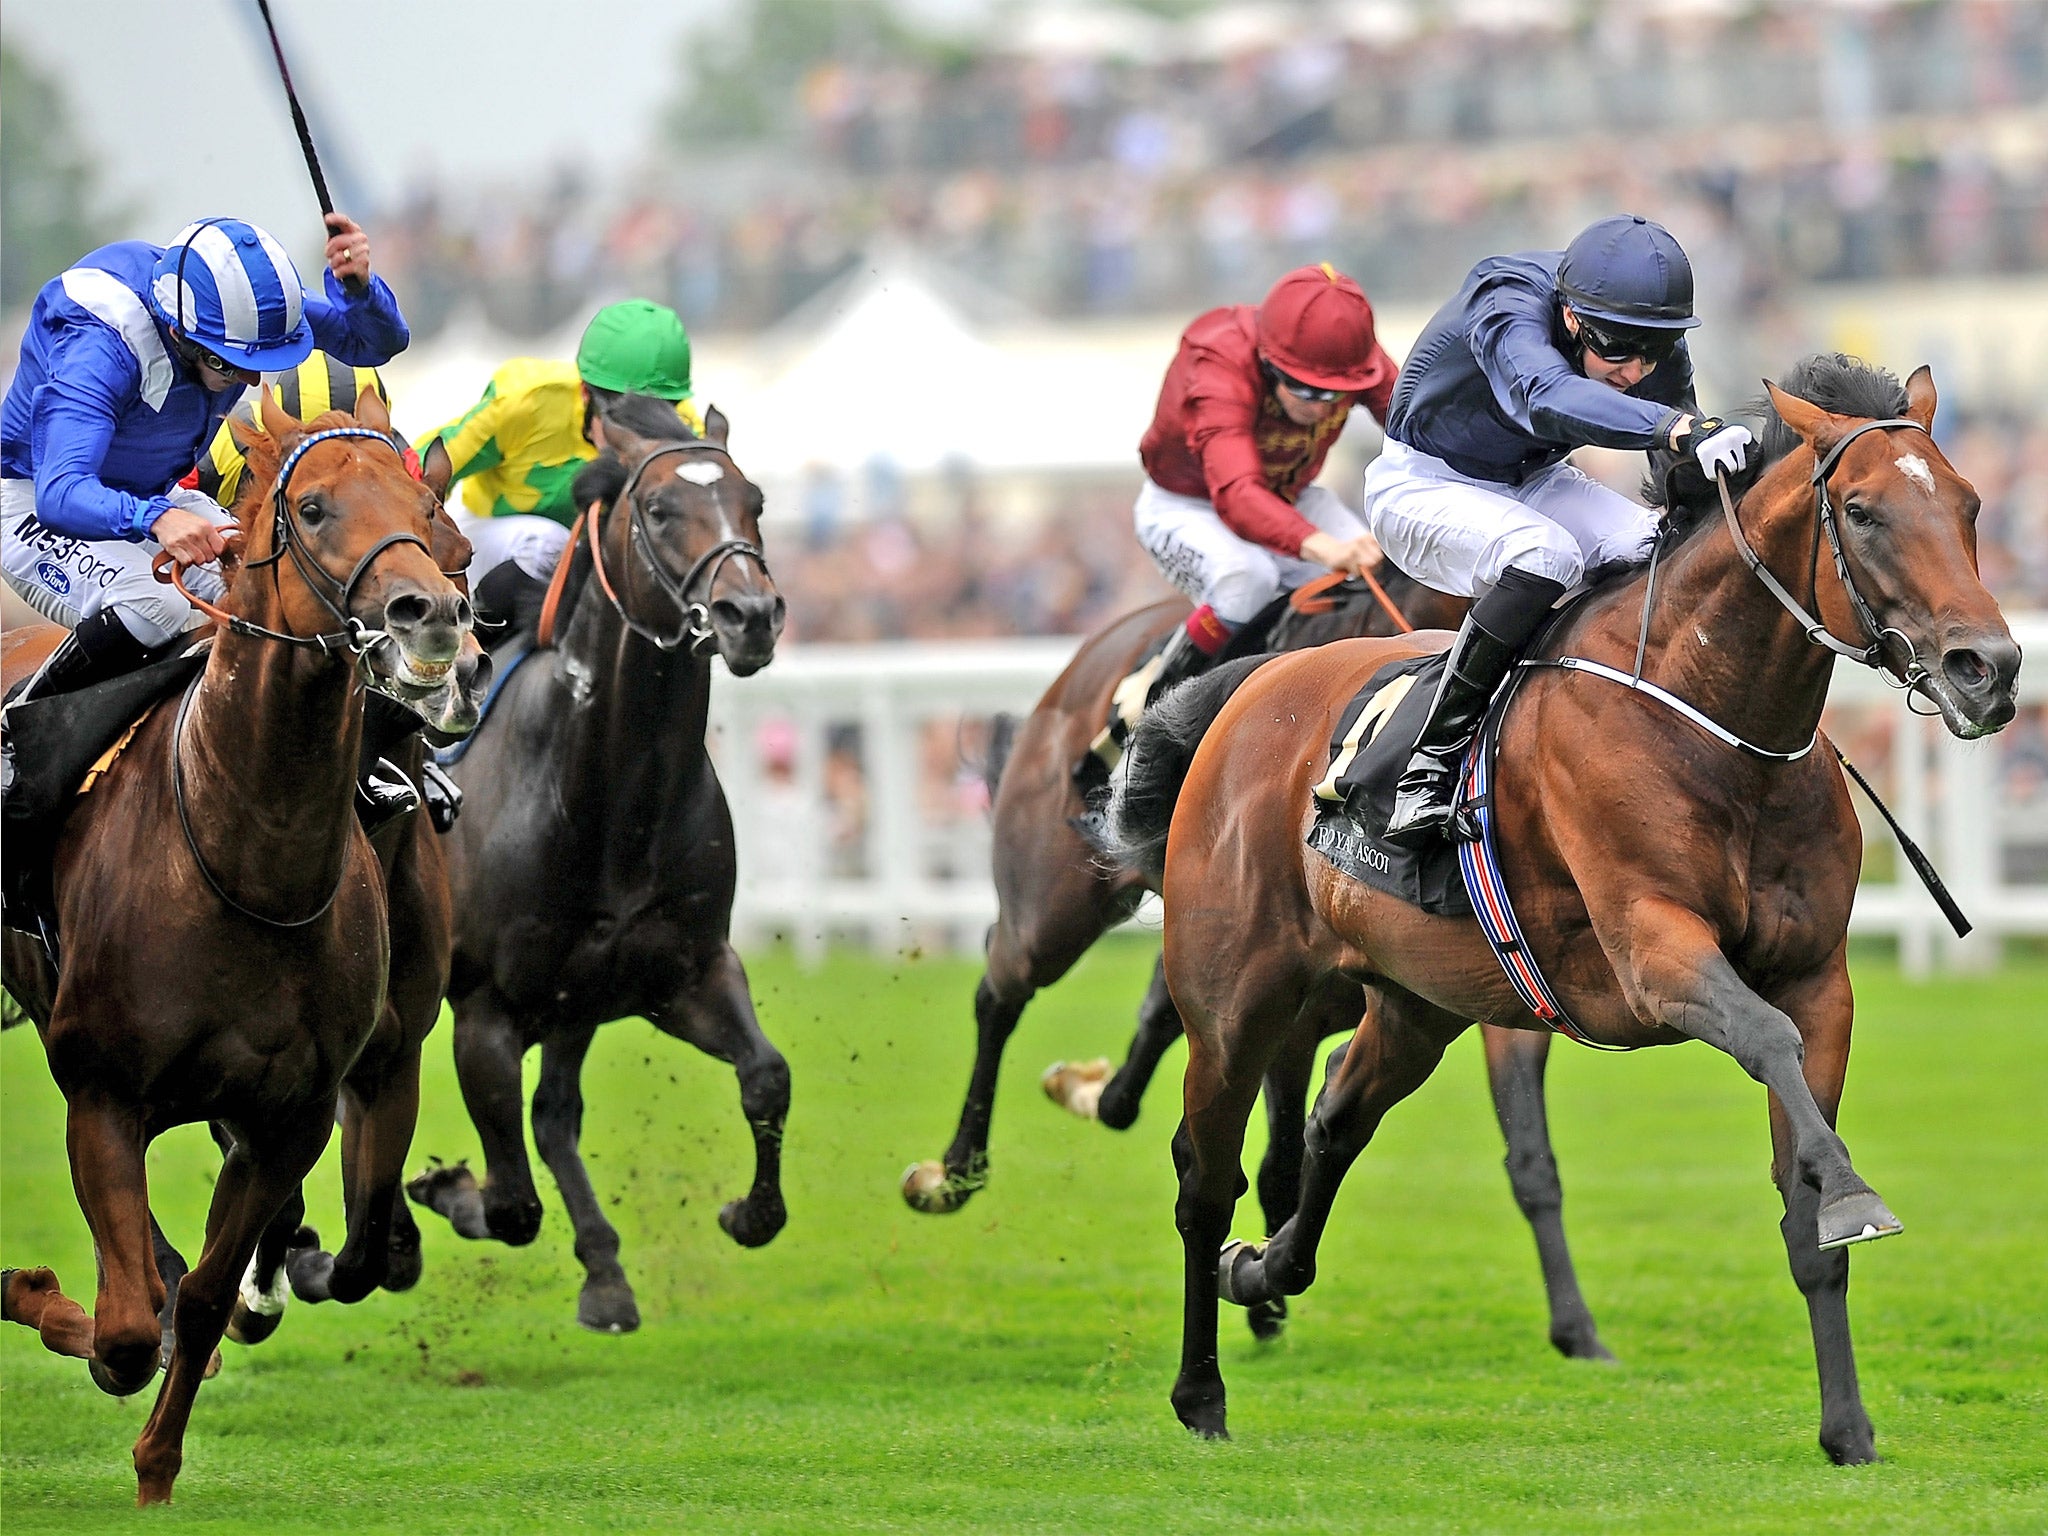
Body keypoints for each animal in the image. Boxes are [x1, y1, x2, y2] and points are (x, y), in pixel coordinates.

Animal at [0, 391, 475, 1507]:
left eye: (434, 516)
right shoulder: (103, 1090)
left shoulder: (296, 1110)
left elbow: (209, 1295)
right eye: (311, 507)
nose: (433, 621)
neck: (244, 858)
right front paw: (41, 1293)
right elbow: (126, 1335)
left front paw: (158, 1463)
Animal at [407, 397, 790, 1335]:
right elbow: (508, 1203)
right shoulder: (485, 1012)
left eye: (755, 500)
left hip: (574, 1002)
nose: (751, 615)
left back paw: (606, 1272)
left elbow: (767, 1077)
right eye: (659, 509)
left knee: (554, 1118)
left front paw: (747, 1213)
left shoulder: (681, 972)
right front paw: (446, 1186)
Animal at [1105, 354, 2015, 1458]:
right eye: (1863, 511)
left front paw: (1847, 1427)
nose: (1990, 669)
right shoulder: (1652, 951)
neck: (1711, 726)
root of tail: (1250, 688)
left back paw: (1263, 1268)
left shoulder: (1817, 980)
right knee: (1204, 1176)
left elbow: (1805, 1198)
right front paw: (1854, 1195)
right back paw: (1200, 1392)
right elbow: (1764, 1039)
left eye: (1968, 504)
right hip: (1235, 999)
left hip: (1418, 1004)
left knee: (1331, 1121)